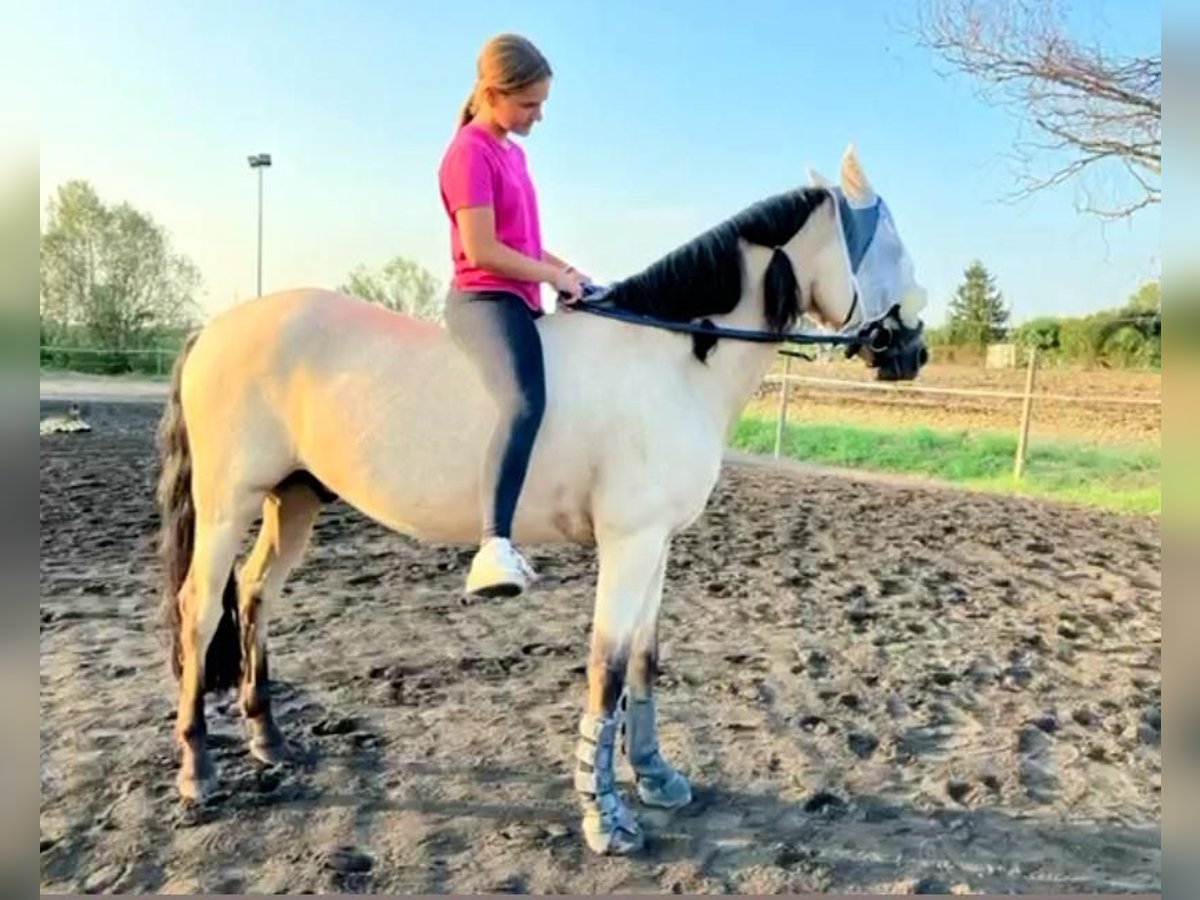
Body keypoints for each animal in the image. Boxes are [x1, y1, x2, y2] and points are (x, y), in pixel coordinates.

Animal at [154, 142, 931, 859]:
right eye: (891, 243)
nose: (914, 351)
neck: (671, 360)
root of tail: (214, 328)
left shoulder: (657, 543)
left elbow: (645, 658)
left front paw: (655, 775)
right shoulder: (629, 543)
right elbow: (607, 667)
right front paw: (606, 817)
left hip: (294, 501)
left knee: (255, 594)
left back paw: (268, 737)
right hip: (228, 503)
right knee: (200, 611)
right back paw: (198, 771)